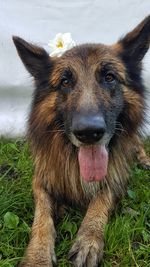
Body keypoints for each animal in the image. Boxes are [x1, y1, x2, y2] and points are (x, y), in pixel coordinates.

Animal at [13, 16, 149, 267]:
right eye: (65, 82)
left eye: (109, 77)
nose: (88, 133)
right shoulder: (41, 179)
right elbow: (42, 216)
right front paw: (38, 255)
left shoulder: (116, 176)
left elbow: (101, 199)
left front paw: (89, 239)